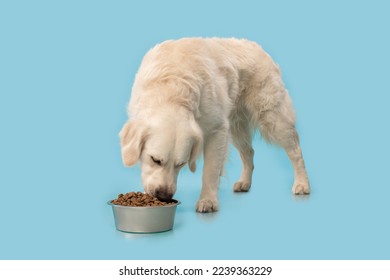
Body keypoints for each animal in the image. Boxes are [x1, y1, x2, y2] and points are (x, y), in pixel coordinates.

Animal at [120, 37, 310, 212]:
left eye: (181, 164)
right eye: (155, 160)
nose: (164, 196)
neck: (172, 92)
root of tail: (257, 46)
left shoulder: (217, 130)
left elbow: (209, 171)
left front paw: (208, 201)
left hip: (272, 117)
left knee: (295, 151)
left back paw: (302, 184)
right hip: (236, 126)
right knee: (249, 152)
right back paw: (245, 182)